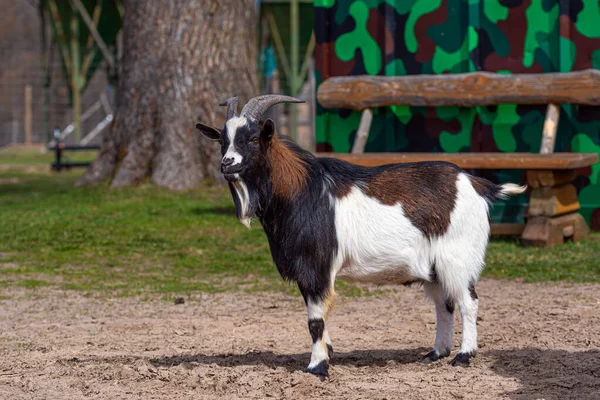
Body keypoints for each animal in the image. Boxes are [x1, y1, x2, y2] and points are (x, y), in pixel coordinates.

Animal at [197, 95, 524, 376]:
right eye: (223, 140)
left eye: (253, 138)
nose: (227, 163)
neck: (301, 190)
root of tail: (476, 184)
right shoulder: (307, 273)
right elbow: (318, 315)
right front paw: (328, 353)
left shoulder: (316, 266)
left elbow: (315, 320)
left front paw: (317, 366)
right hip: (434, 267)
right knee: (445, 303)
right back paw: (436, 353)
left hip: (457, 257)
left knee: (468, 302)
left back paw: (464, 356)